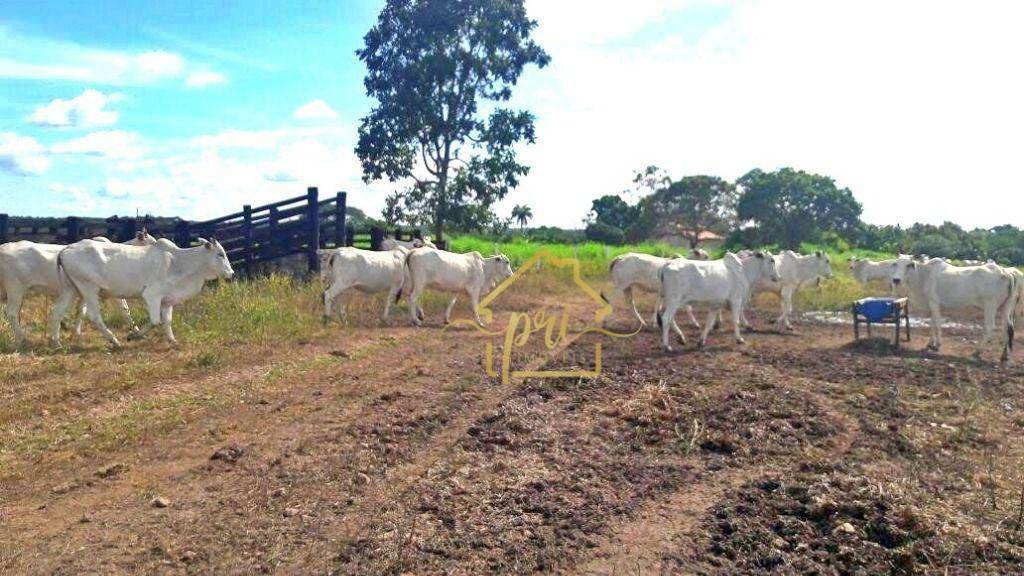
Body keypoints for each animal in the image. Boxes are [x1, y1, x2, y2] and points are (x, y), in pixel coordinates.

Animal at [1, 229, 156, 344]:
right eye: (151, 243)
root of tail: (4, 247)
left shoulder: (83, 293)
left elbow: (81, 311)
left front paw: (77, 333)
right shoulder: (114, 292)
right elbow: (125, 310)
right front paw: (137, 332)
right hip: (16, 288)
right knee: (11, 312)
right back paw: (23, 338)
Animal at [50, 236, 233, 344]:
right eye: (220, 254)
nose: (231, 273)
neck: (178, 262)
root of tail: (66, 249)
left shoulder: (167, 301)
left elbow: (167, 321)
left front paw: (172, 340)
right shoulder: (152, 295)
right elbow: (155, 321)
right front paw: (133, 335)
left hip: (72, 289)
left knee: (58, 311)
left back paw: (56, 341)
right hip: (89, 288)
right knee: (94, 316)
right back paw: (114, 340)